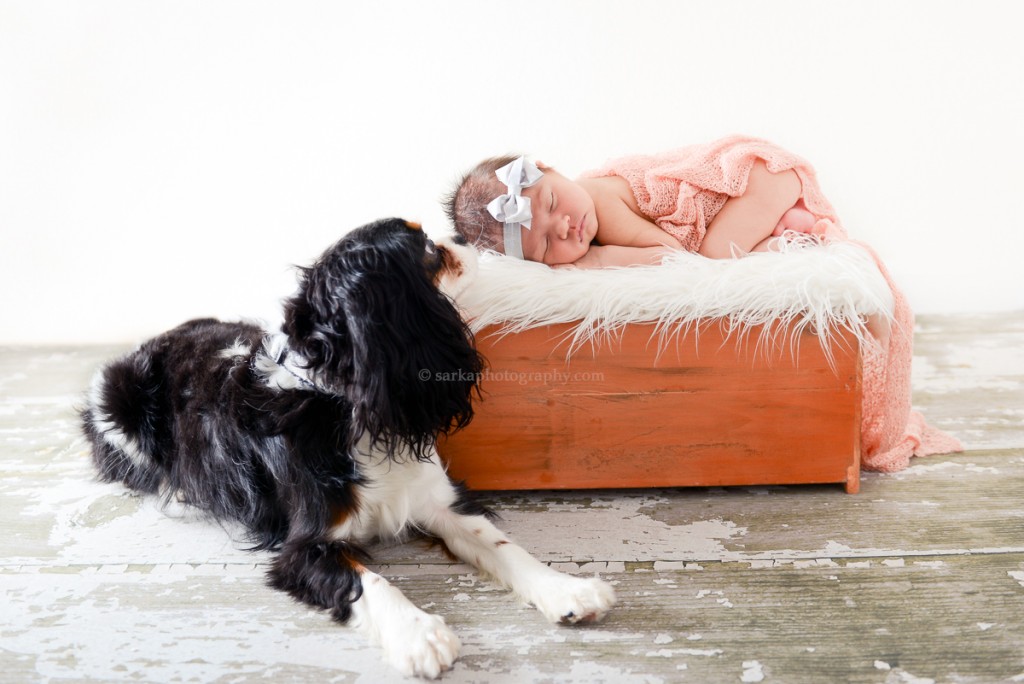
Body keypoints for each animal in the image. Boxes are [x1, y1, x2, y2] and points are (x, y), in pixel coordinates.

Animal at [79, 220, 614, 679]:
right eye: (426, 249)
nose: (463, 235)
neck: (349, 404)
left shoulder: (438, 500)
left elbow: (502, 544)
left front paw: (567, 589)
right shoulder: (302, 547)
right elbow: (368, 580)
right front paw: (420, 635)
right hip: (119, 411)